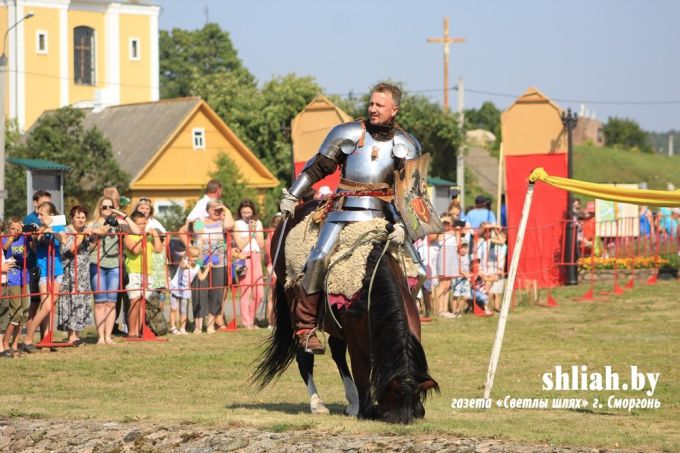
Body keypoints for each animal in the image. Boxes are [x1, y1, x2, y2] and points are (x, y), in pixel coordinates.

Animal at [252, 202, 438, 424]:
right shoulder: (358, 345)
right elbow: (361, 371)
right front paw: (365, 409)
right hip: (292, 298)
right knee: (304, 352)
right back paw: (318, 404)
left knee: (336, 349)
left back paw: (352, 400)